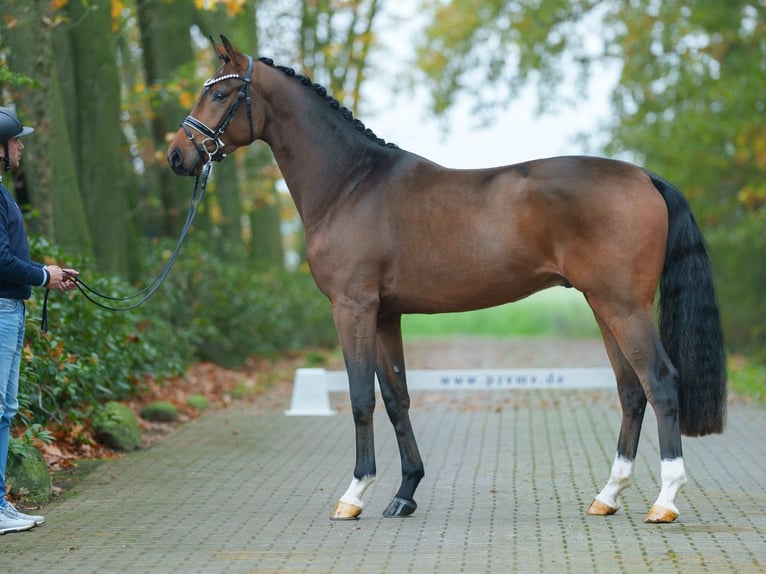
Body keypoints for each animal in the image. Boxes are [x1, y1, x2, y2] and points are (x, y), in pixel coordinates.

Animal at [166, 37, 728, 528]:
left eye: (220, 93)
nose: (177, 155)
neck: (350, 183)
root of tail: (644, 177)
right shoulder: (386, 313)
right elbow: (396, 398)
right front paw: (404, 493)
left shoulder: (352, 307)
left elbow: (360, 398)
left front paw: (354, 494)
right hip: (603, 304)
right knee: (631, 391)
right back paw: (607, 496)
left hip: (623, 306)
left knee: (661, 381)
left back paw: (665, 502)